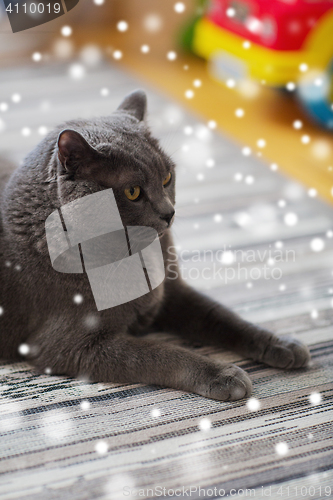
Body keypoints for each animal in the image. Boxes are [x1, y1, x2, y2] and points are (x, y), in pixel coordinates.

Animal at [0, 91, 310, 402]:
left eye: (167, 178)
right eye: (132, 192)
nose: (168, 212)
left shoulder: (170, 291)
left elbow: (222, 316)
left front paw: (282, 344)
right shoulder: (68, 347)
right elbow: (157, 354)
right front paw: (223, 375)